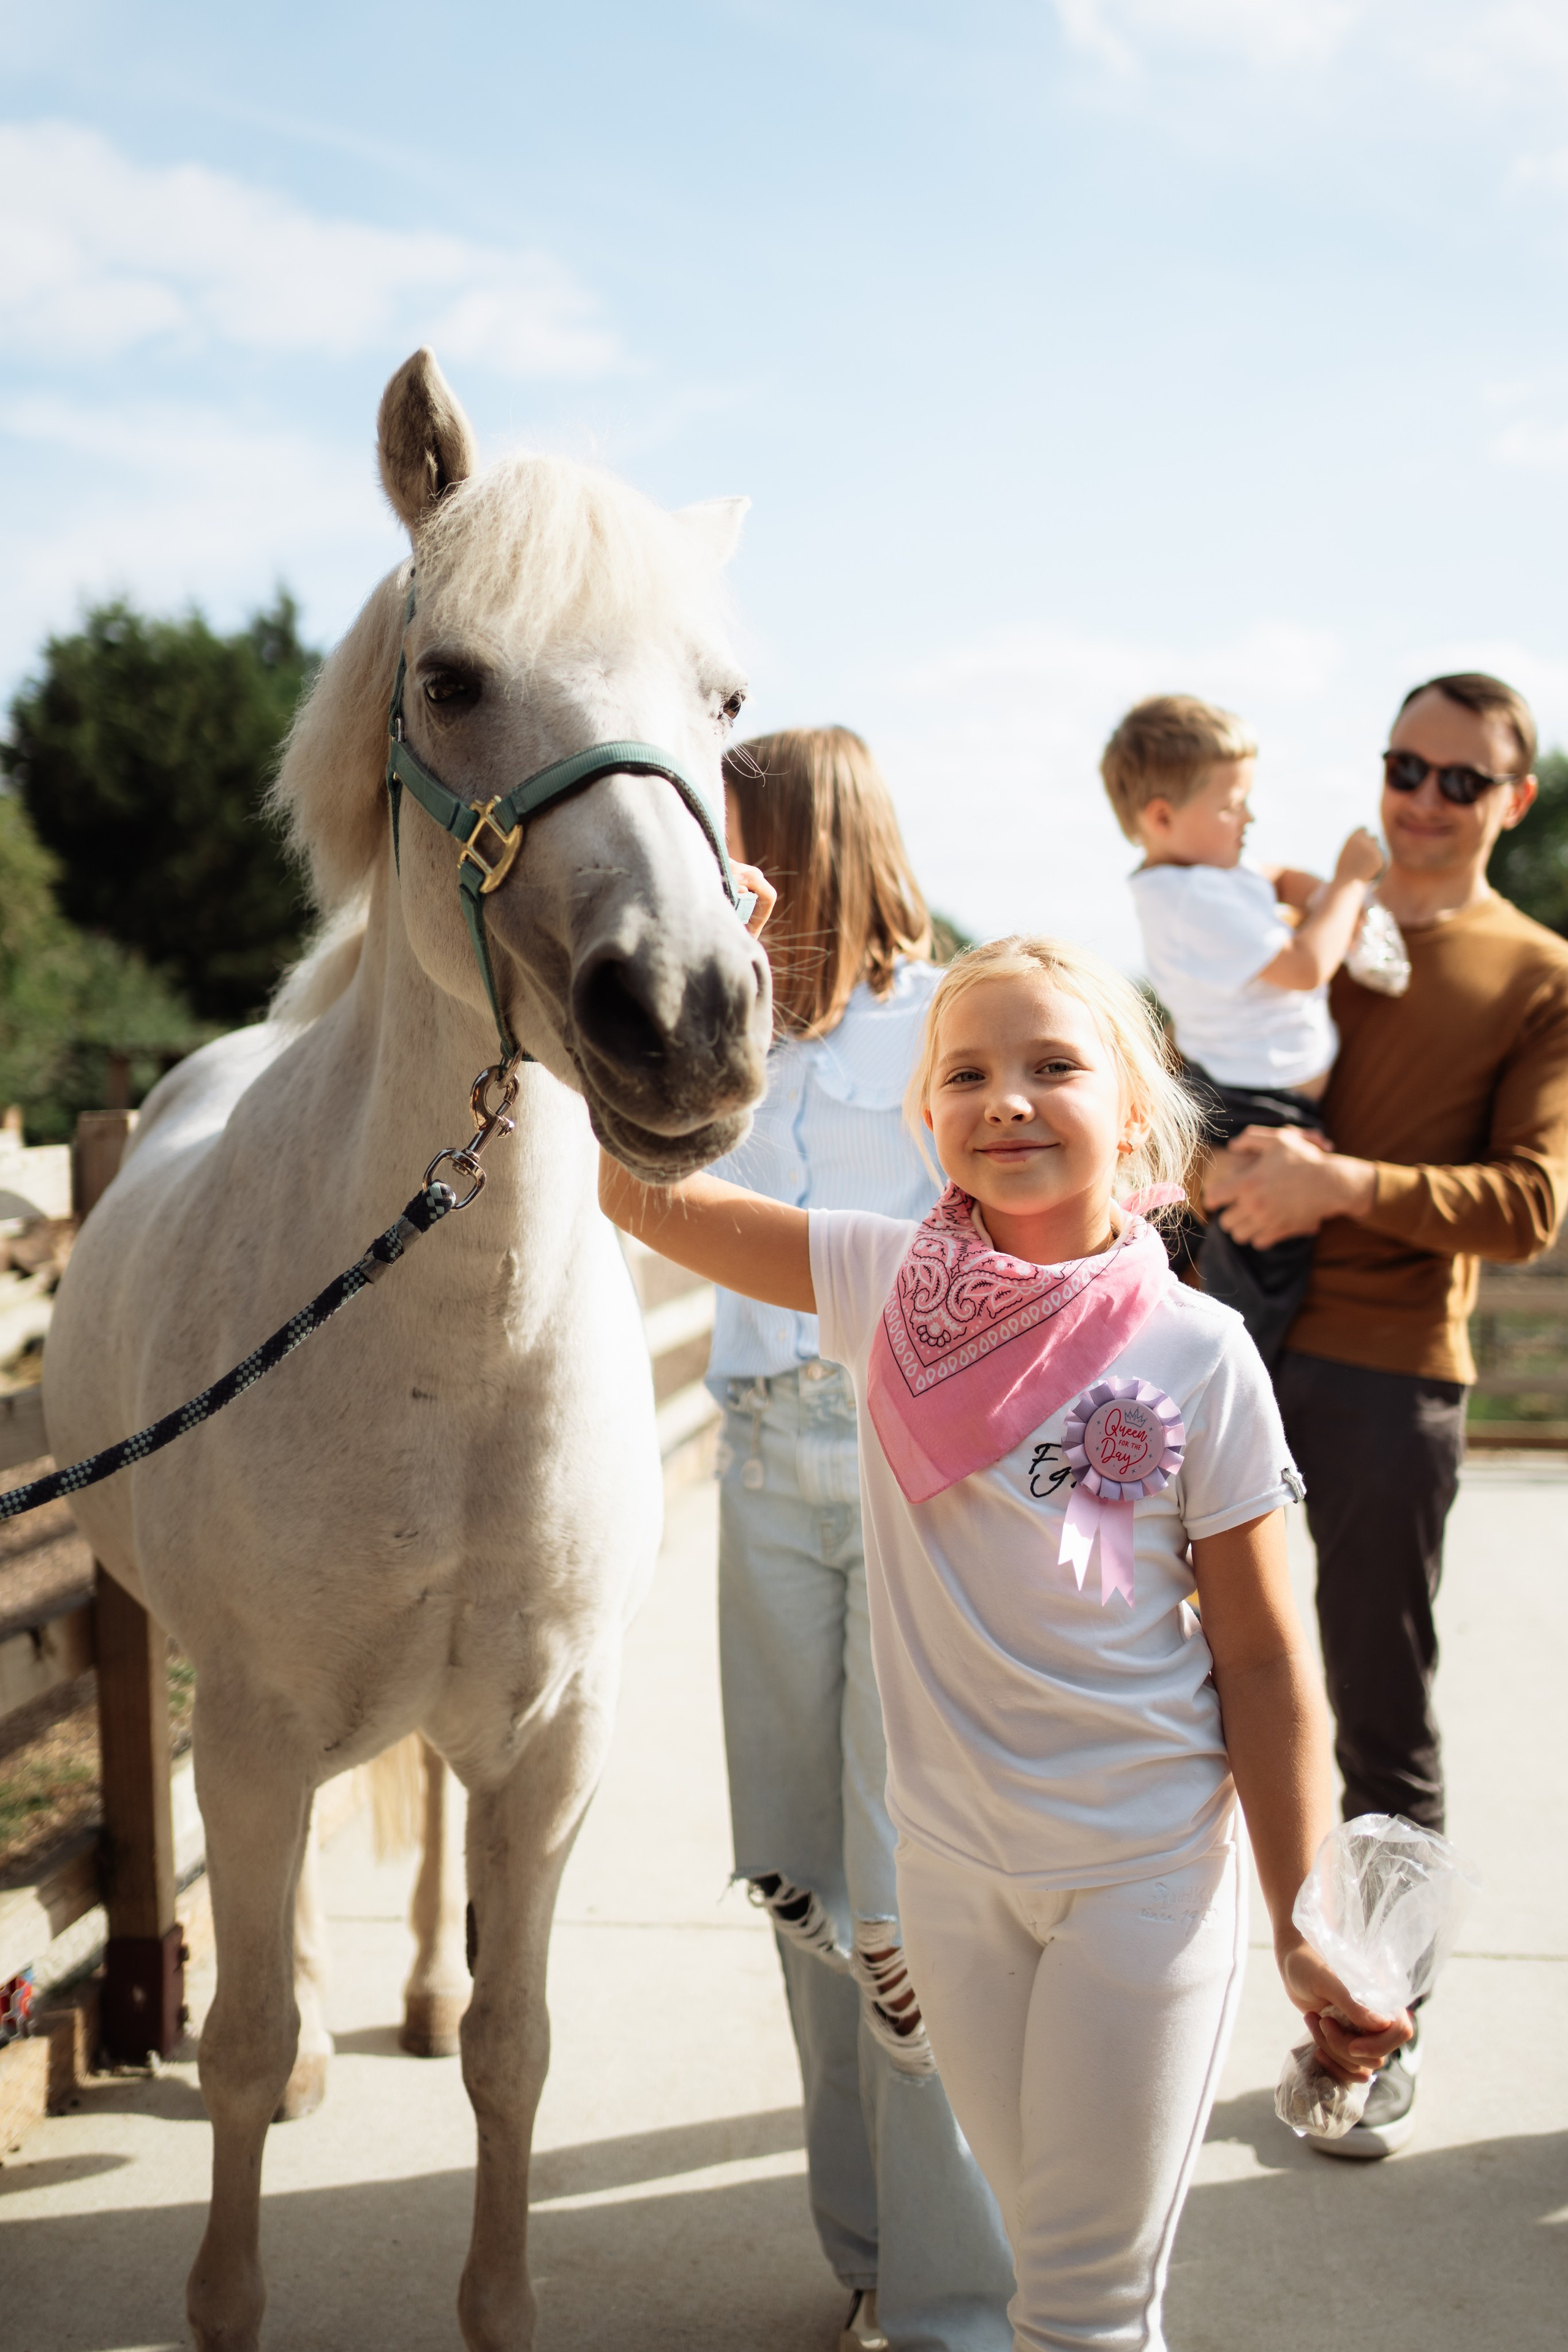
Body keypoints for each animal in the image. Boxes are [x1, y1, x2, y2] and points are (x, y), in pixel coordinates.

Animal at [43, 346, 770, 2352]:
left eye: (726, 700)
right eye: (448, 677)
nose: (687, 1015)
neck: (448, 1350)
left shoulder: (559, 1732)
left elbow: (519, 2053)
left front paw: (498, 2288)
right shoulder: (258, 1725)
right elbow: (230, 2044)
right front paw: (226, 2286)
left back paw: (425, 1993)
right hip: (218, 1695)